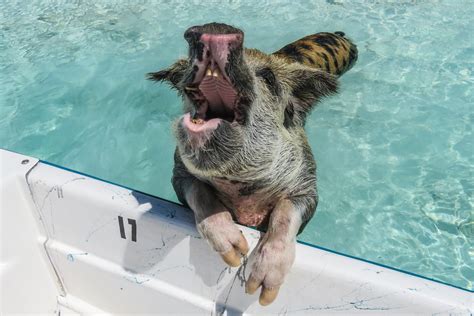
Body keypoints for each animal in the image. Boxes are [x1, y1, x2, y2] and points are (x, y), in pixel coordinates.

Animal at [147, 22, 356, 306]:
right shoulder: (180, 174)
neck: (242, 185)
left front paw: (260, 292)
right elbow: (199, 193)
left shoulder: (307, 184)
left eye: (268, 77)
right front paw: (236, 253)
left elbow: (285, 212)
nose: (216, 27)